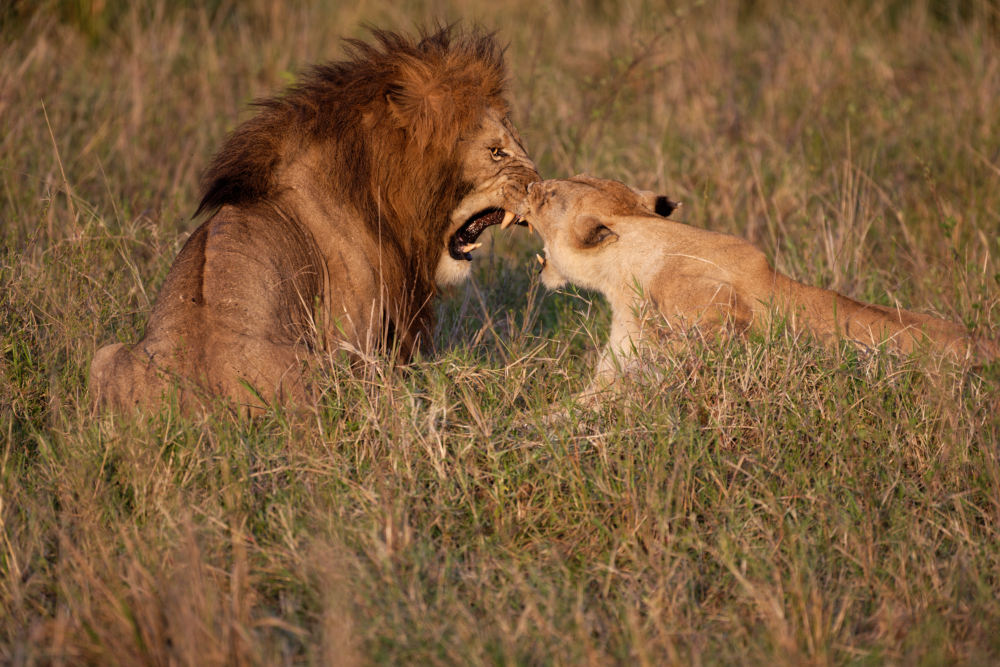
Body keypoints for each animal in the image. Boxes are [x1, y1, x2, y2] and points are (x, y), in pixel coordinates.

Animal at [89, 27, 540, 412]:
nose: (539, 184)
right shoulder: (356, 339)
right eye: (496, 151)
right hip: (320, 368)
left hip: (103, 355)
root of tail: (202, 406)